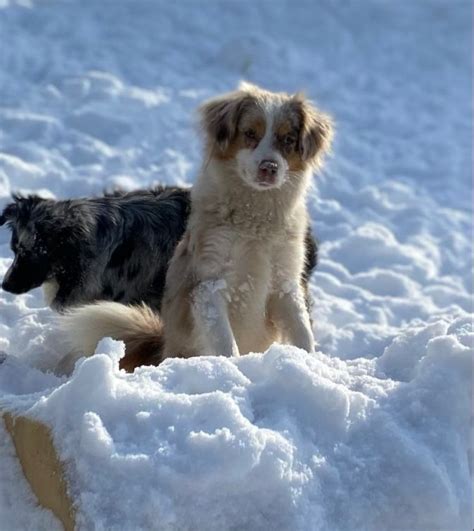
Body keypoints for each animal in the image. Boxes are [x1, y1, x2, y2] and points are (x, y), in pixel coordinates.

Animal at [60, 83, 334, 370]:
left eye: (288, 139)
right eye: (250, 133)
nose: (269, 167)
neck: (255, 218)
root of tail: (163, 346)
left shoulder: (285, 283)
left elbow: (302, 332)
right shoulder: (209, 284)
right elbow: (225, 342)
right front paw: (232, 368)